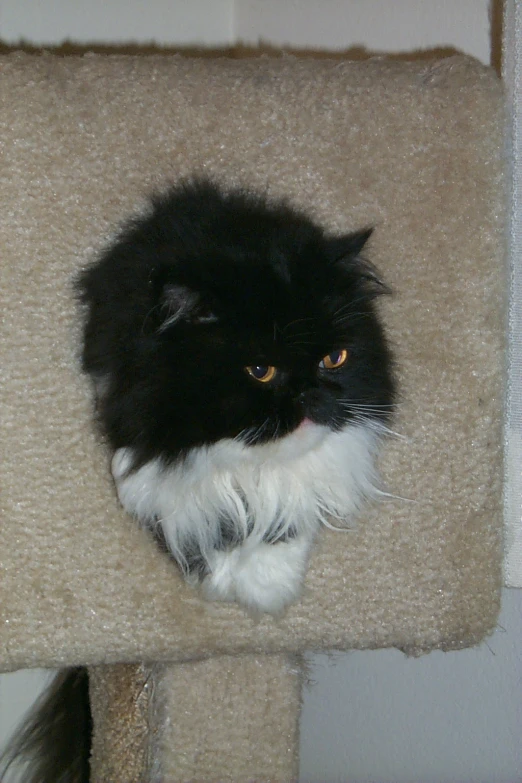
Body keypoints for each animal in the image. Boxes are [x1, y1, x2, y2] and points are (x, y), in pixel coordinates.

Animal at [77, 181, 394, 616]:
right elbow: (202, 527)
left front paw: (268, 587)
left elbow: (283, 523)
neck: (248, 462)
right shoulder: (145, 477)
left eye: (334, 359)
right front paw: (221, 580)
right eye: (260, 371)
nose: (310, 394)